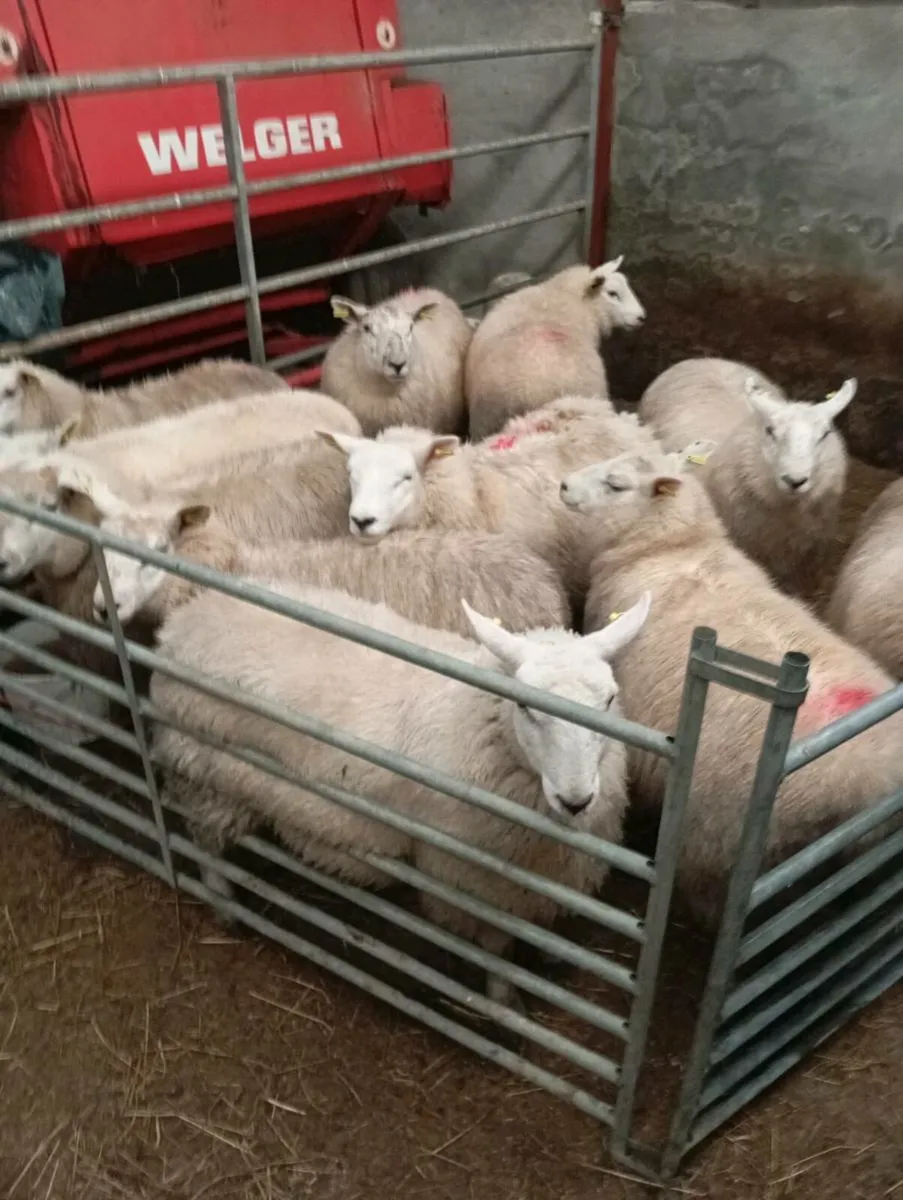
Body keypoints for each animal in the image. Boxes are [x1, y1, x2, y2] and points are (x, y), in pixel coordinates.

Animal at [151, 581, 652, 1008]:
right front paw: (504, 1001)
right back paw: (225, 907)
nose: (576, 800)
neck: (475, 720)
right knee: (208, 847)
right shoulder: (475, 882)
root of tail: (188, 616)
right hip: (201, 771)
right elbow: (497, 952)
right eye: (525, 706)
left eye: (609, 700)